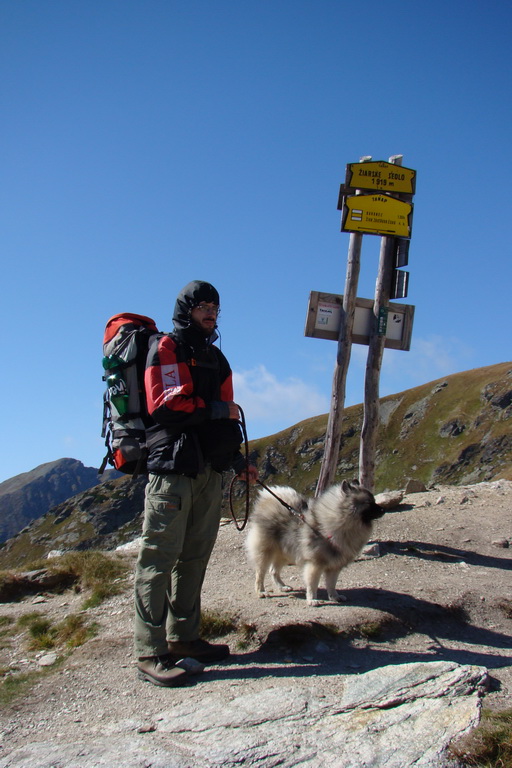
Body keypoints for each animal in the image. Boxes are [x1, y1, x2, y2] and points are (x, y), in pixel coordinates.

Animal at [245, 480, 384, 608]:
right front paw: (312, 600)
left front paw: (335, 596)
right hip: (266, 553)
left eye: (374, 500)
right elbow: (312, 584)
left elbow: (331, 584)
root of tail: (268, 503)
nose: (383, 509)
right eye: (368, 503)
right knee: (260, 573)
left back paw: (282, 586)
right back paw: (261, 591)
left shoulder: (334, 566)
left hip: (285, 554)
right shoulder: (315, 565)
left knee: (273, 571)